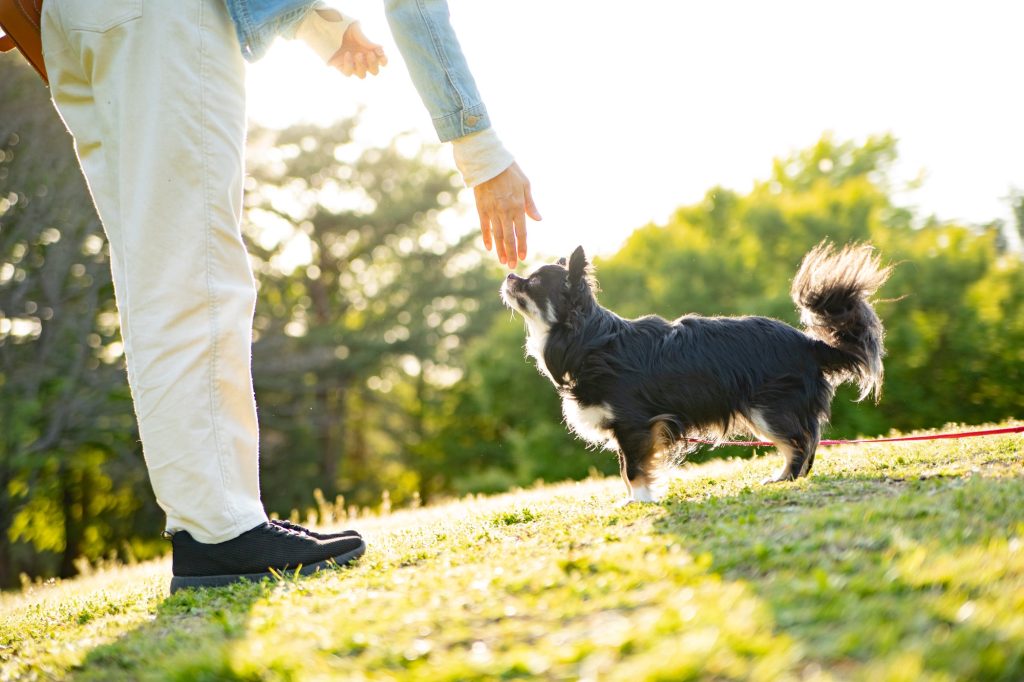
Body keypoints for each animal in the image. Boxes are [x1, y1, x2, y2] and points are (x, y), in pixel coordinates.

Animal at [499, 241, 892, 501]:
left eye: (533, 283)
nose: (509, 275)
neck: (588, 339)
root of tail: (808, 343)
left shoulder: (635, 424)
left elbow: (632, 469)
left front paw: (641, 501)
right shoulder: (634, 429)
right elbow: (627, 468)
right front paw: (635, 499)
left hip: (768, 409)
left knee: (801, 442)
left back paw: (785, 479)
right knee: (804, 442)